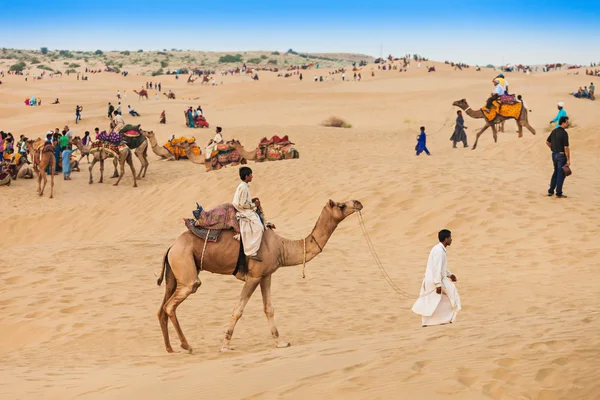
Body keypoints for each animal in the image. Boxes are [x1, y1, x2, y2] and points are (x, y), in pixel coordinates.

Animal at [157, 198, 364, 352]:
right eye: (340, 205)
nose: (358, 202)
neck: (282, 247)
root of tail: (171, 248)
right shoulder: (254, 276)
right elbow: (238, 310)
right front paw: (225, 345)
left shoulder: (266, 276)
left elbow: (268, 309)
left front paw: (281, 342)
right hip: (186, 269)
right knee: (172, 304)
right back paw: (186, 346)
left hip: (174, 274)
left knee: (162, 309)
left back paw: (169, 348)